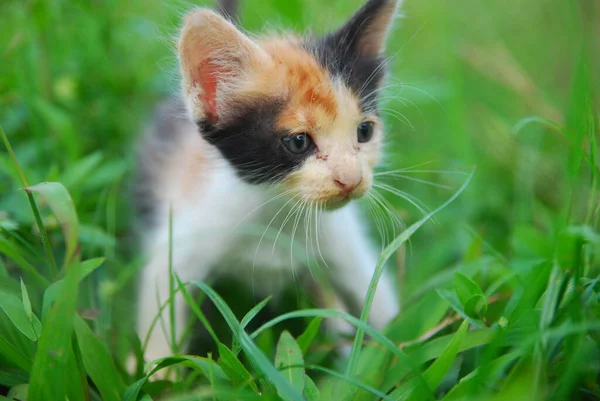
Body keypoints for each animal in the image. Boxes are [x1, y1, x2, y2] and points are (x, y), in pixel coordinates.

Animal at [134, 0, 400, 366]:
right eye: (299, 142)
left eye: (365, 131)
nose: (351, 178)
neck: (276, 209)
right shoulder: (186, 237)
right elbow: (161, 310)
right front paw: (154, 373)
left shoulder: (343, 243)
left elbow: (381, 304)